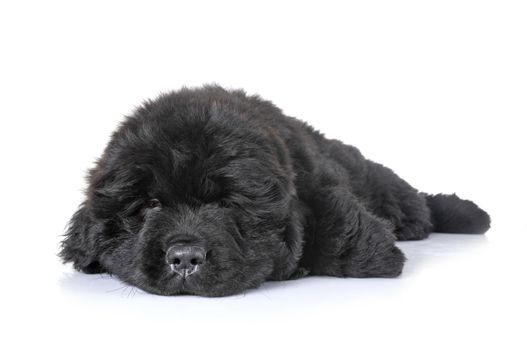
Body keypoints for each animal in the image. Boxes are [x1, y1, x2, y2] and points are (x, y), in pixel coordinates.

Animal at [60, 85, 490, 296]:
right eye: (150, 204)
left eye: (227, 204)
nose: (184, 258)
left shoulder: (325, 196)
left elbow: (350, 242)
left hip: (380, 184)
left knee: (415, 203)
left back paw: (471, 216)